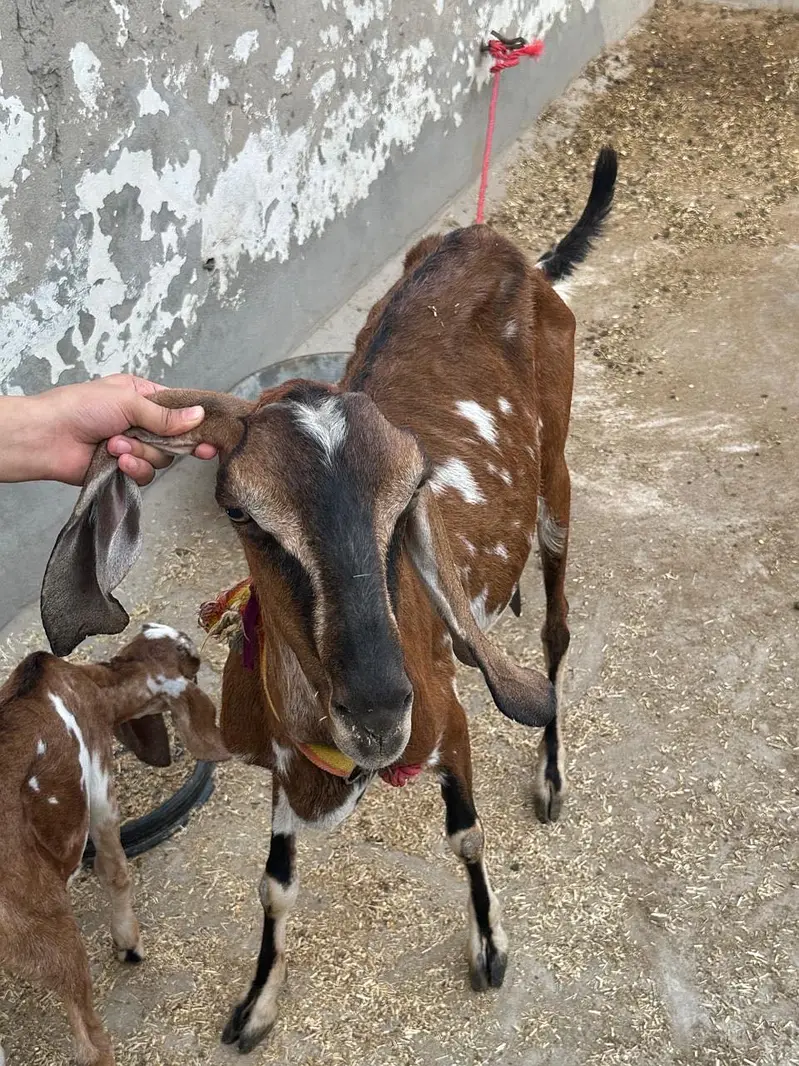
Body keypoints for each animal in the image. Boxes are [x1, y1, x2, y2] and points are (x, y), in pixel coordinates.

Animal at [0, 624, 228, 1066]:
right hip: (52, 934)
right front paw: (128, 943)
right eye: (190, 660)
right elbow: (116, 870)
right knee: (91, 1045)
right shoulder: (100, 783)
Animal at [40, 147, 617, 1053]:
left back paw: (550, 773)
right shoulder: (284, 759)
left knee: (556, 634)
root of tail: (492, 241)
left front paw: (490, 951)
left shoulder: (447, 715)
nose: (378, 710)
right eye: (240, 510)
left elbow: (465, 832)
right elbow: (275, 884)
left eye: (409, 492)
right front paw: (254, 1007)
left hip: (554, 468)